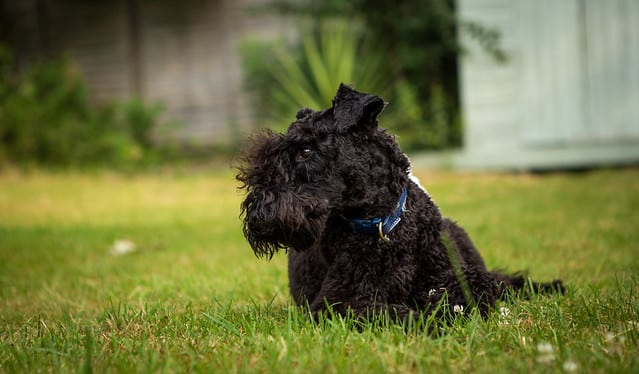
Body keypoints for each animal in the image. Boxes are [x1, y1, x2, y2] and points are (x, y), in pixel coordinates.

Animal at [238, 84, 564, 322]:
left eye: (306, 150)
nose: (256, 215)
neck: (383, 224)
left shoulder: (455, 275)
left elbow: (473, 287)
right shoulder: (337, 301)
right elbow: (393, 312)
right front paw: (432, 320)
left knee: (503, 279)